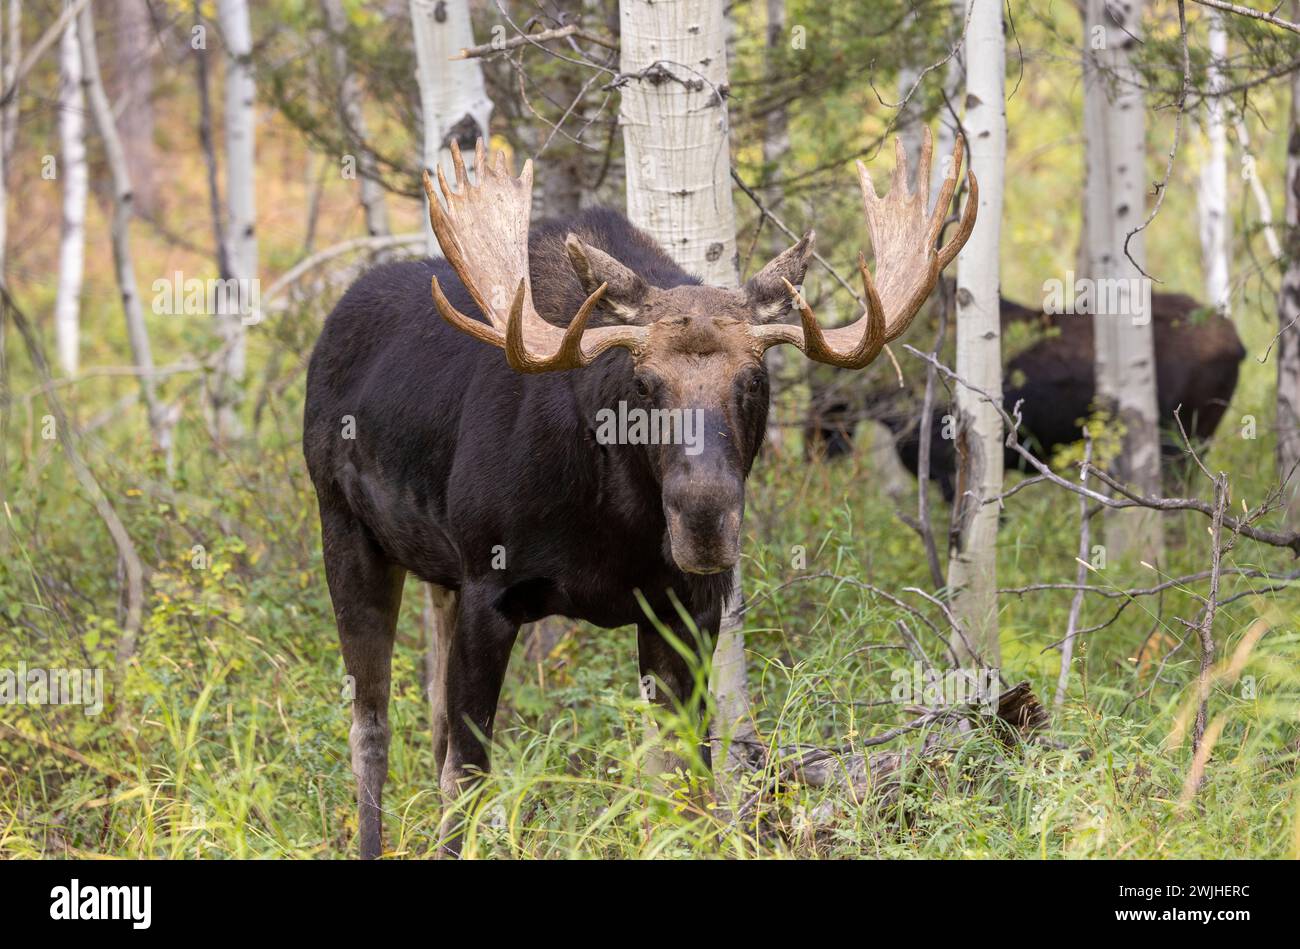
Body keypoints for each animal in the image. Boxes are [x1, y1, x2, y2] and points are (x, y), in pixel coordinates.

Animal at [303, 129, 977, 857]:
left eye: (754, 380)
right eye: (645, 384)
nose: (705, 519)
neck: (615, 516)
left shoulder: (684, 609)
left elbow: (688, 783)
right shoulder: (490, 590)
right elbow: (469, 772)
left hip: (437, 574)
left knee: (426, 715)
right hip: (346, 531)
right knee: (371, 728)